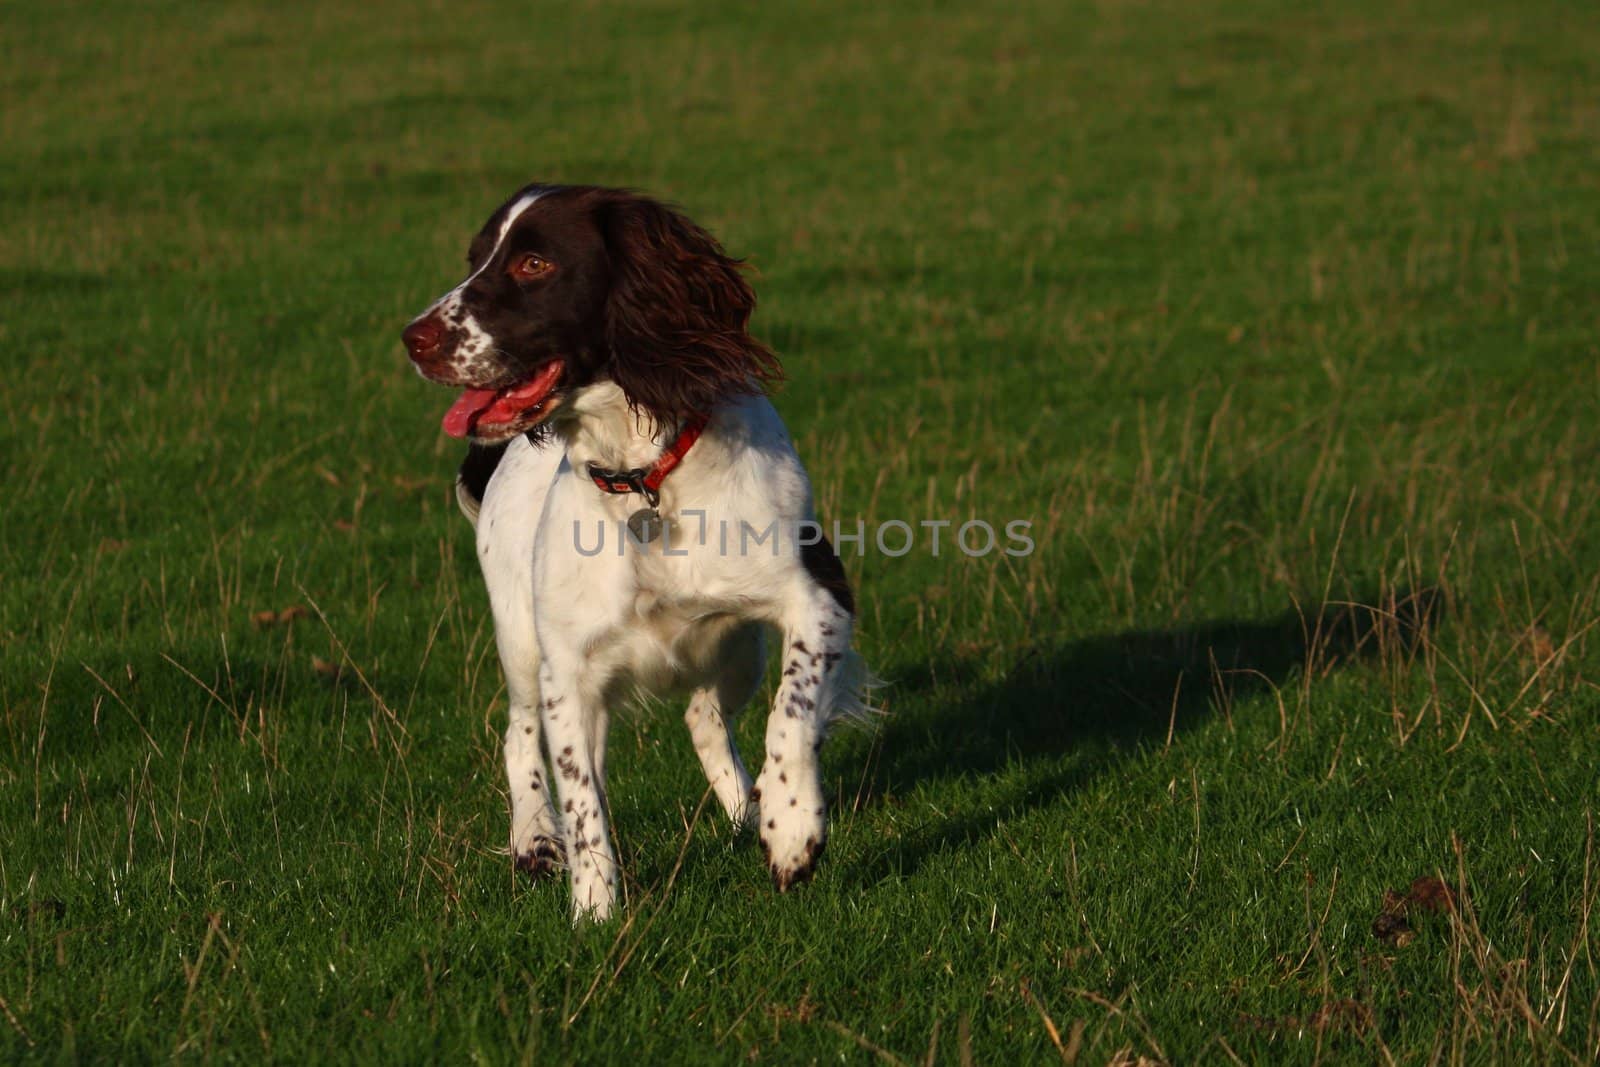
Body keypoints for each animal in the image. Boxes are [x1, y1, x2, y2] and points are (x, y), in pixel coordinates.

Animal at [406, 183, 870, 921]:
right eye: (475, 259)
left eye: (534, 263)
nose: (413, 338)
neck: (643, 475)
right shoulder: (568, 672)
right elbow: (582, 796)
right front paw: (594, 912)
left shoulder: (819, 593)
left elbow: (791, 713)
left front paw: (793, 826)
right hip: (521, 640)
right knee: (518, 732)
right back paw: (535, 840)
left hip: (738, 651)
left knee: (705, 715)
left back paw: (747, 811)